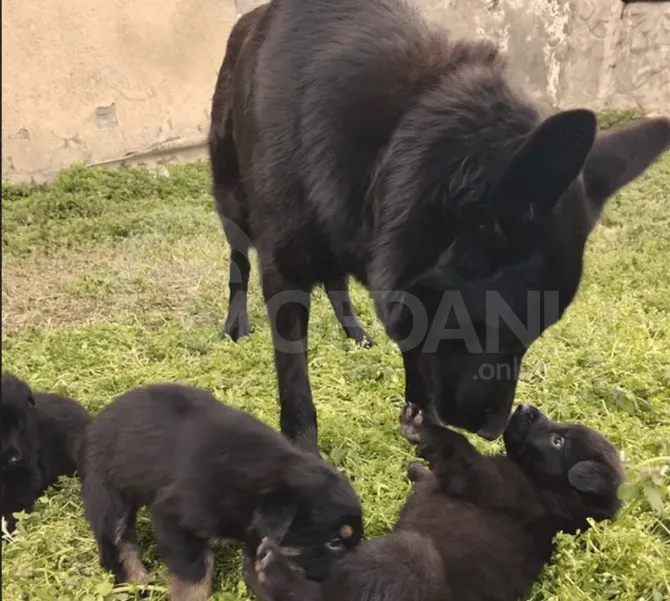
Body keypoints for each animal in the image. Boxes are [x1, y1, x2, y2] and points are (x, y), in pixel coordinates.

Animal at [80, 384, 364, 600]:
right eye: (334, 542)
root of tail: (96, 421)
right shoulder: (173, 514)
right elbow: (193, 572)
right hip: (108, 491)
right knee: (116, 543)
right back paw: (138, 581)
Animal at [247, 404, 632, 600]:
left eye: (557, 441)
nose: (525, 407)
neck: (547, 491)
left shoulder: (493, 482)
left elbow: (458, 449)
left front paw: (424, 427)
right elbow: (431, 471)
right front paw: (415, 467)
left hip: (409, 552)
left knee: (321, 597)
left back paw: (274, 573)